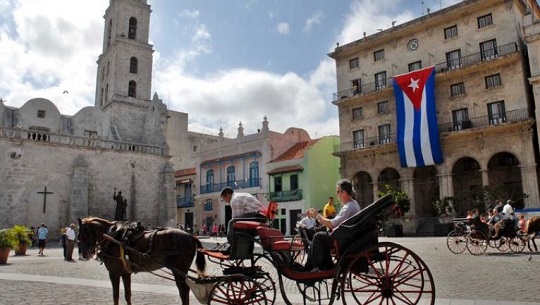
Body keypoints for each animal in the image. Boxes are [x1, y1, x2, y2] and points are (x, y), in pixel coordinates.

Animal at [78, 216, 207, 304]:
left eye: (81, 234)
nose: (84, 253)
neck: (113, 237)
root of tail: (190, 235)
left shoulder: (114, 273)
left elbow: (115, 296)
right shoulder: (125, 273)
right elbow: (127, 295)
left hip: (178, 271)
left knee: (183, 291)